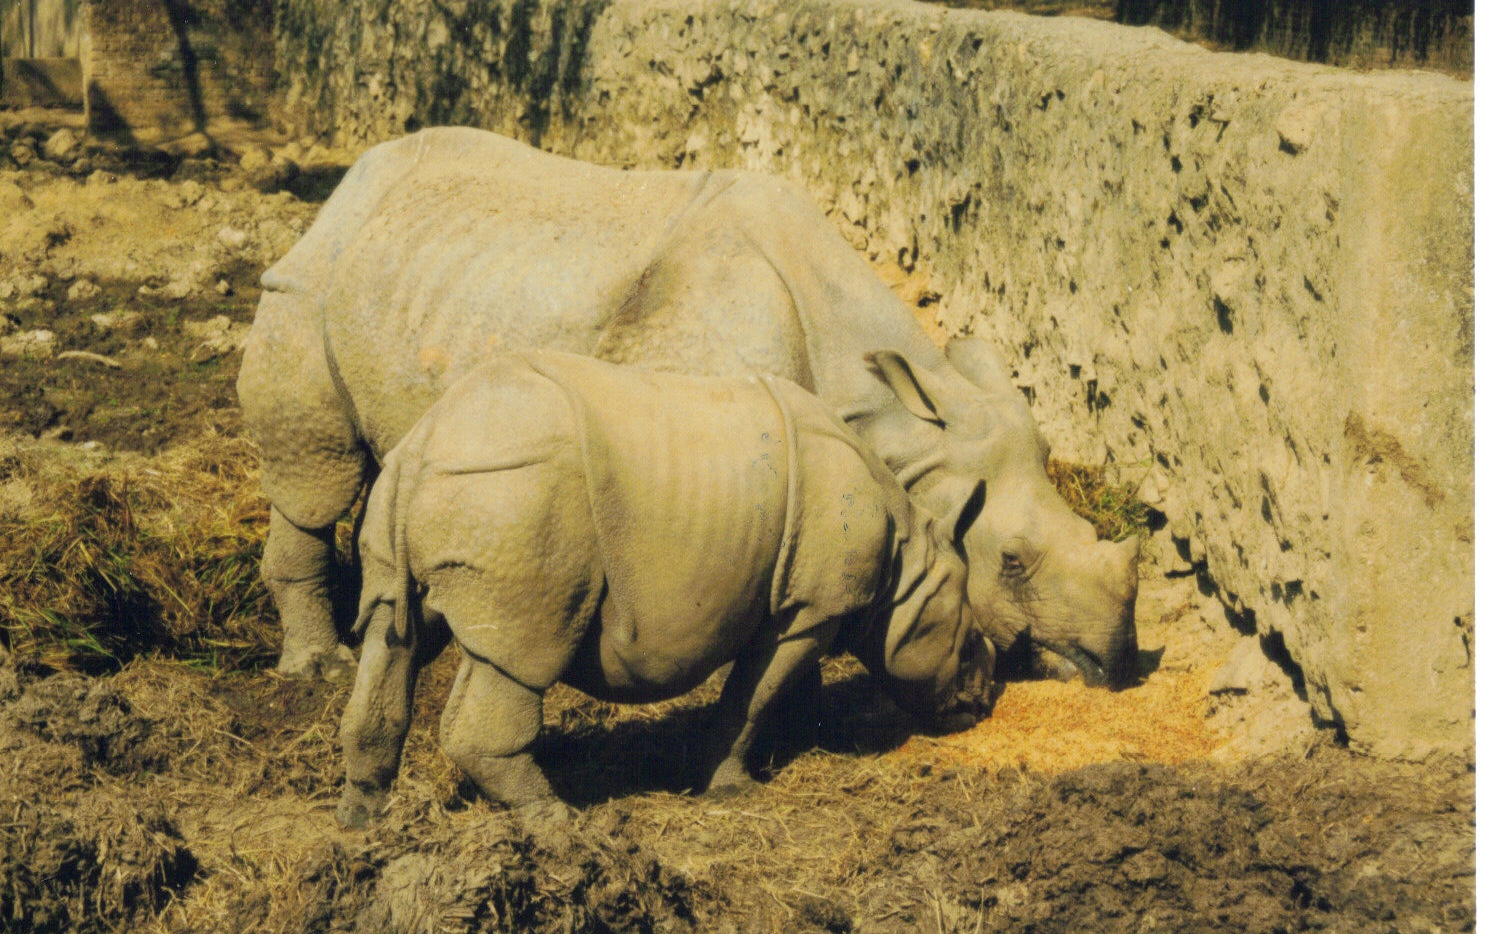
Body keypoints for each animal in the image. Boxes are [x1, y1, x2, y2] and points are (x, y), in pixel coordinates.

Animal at [239, 127, 1139, 688]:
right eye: (1012, 560)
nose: (1113, 660)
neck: (891, 413)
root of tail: (350, 184)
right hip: (305, 286)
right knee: (315, 471)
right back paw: (319, 669)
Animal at [336, 350, 996, 827]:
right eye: (970, 646)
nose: (984, 702)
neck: (909, 563)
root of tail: (427, 443)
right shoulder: (809, 608)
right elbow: (752, 697)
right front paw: (730, 788)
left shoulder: (800, 602)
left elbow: (770, 690)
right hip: (517, 498)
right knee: (520, 653)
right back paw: (557, 822)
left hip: (435, 489)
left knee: (393, 632)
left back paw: (362, 818)